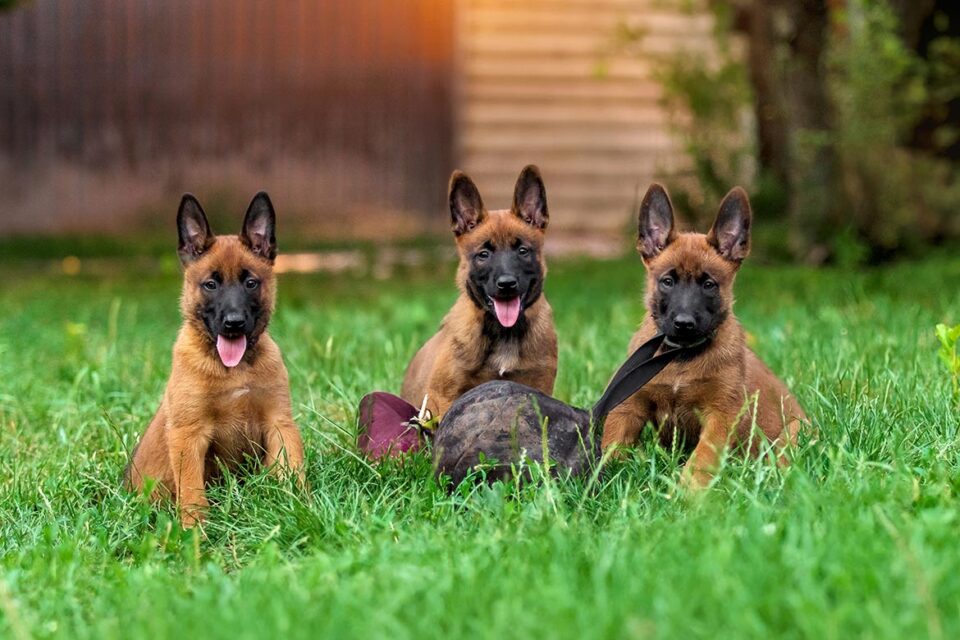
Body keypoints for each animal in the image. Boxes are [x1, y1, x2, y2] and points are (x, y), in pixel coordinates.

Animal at [124, 192, 304, 528]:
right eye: (211, 284)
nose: (233, 323)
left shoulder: (280, 423)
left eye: (250, 283)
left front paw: (299, 506)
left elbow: (292, 470)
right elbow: (192, 491)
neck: (234, 370)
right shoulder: (189, 435)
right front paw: (194, 531)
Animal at [402, 165, 560, 420]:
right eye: (484, 254)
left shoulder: (538, 386)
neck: (504, 332)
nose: (507, 284)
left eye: (523, 251)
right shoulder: (443, 398)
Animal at [604, 182, 808, 488]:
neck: (681, 357)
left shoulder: (721, 414)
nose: (684, 323)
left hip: (791, 435)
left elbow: (703, 457)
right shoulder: (628, 406)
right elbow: (610, 445)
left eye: (709, 285)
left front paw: (689, 491)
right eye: (667, 281)